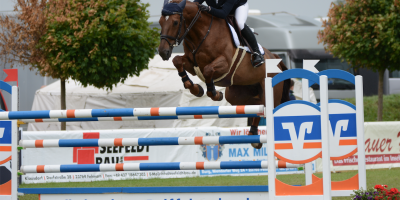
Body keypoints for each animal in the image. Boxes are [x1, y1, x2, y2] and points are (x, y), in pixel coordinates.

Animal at [157, 0, 290, 148]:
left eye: (175, 22)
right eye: (160, 22)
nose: (163, 52)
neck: (202, 33)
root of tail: (275, 58)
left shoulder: (225, 64)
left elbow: (208, 70)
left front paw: (214, 94)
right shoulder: (193, 64)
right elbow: (177, 60)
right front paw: (196, 89)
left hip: (271, 90)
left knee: (267, 107)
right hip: (236, 95)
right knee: (257, 105)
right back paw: (254, 134)